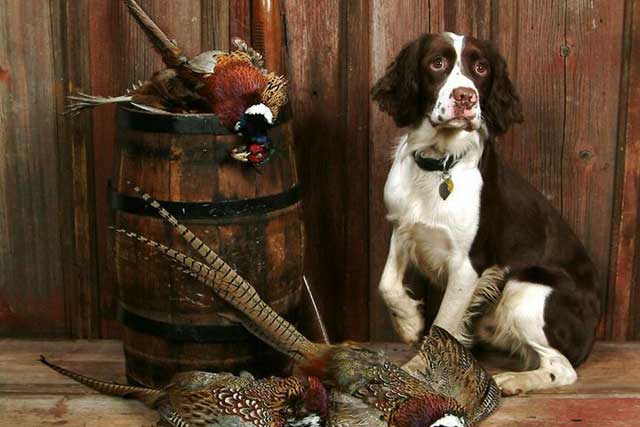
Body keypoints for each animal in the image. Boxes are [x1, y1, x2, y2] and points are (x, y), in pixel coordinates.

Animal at [370, 31, 600, 396]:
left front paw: (420, 369)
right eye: (437, 63)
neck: (439, 164)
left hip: (524, 291)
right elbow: (387, 284)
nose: (466, 97)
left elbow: (442, 325)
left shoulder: (468, 266)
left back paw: (513, 381)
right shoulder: (403, 227)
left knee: (562, 368)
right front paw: (409, 323)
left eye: (481, 68)